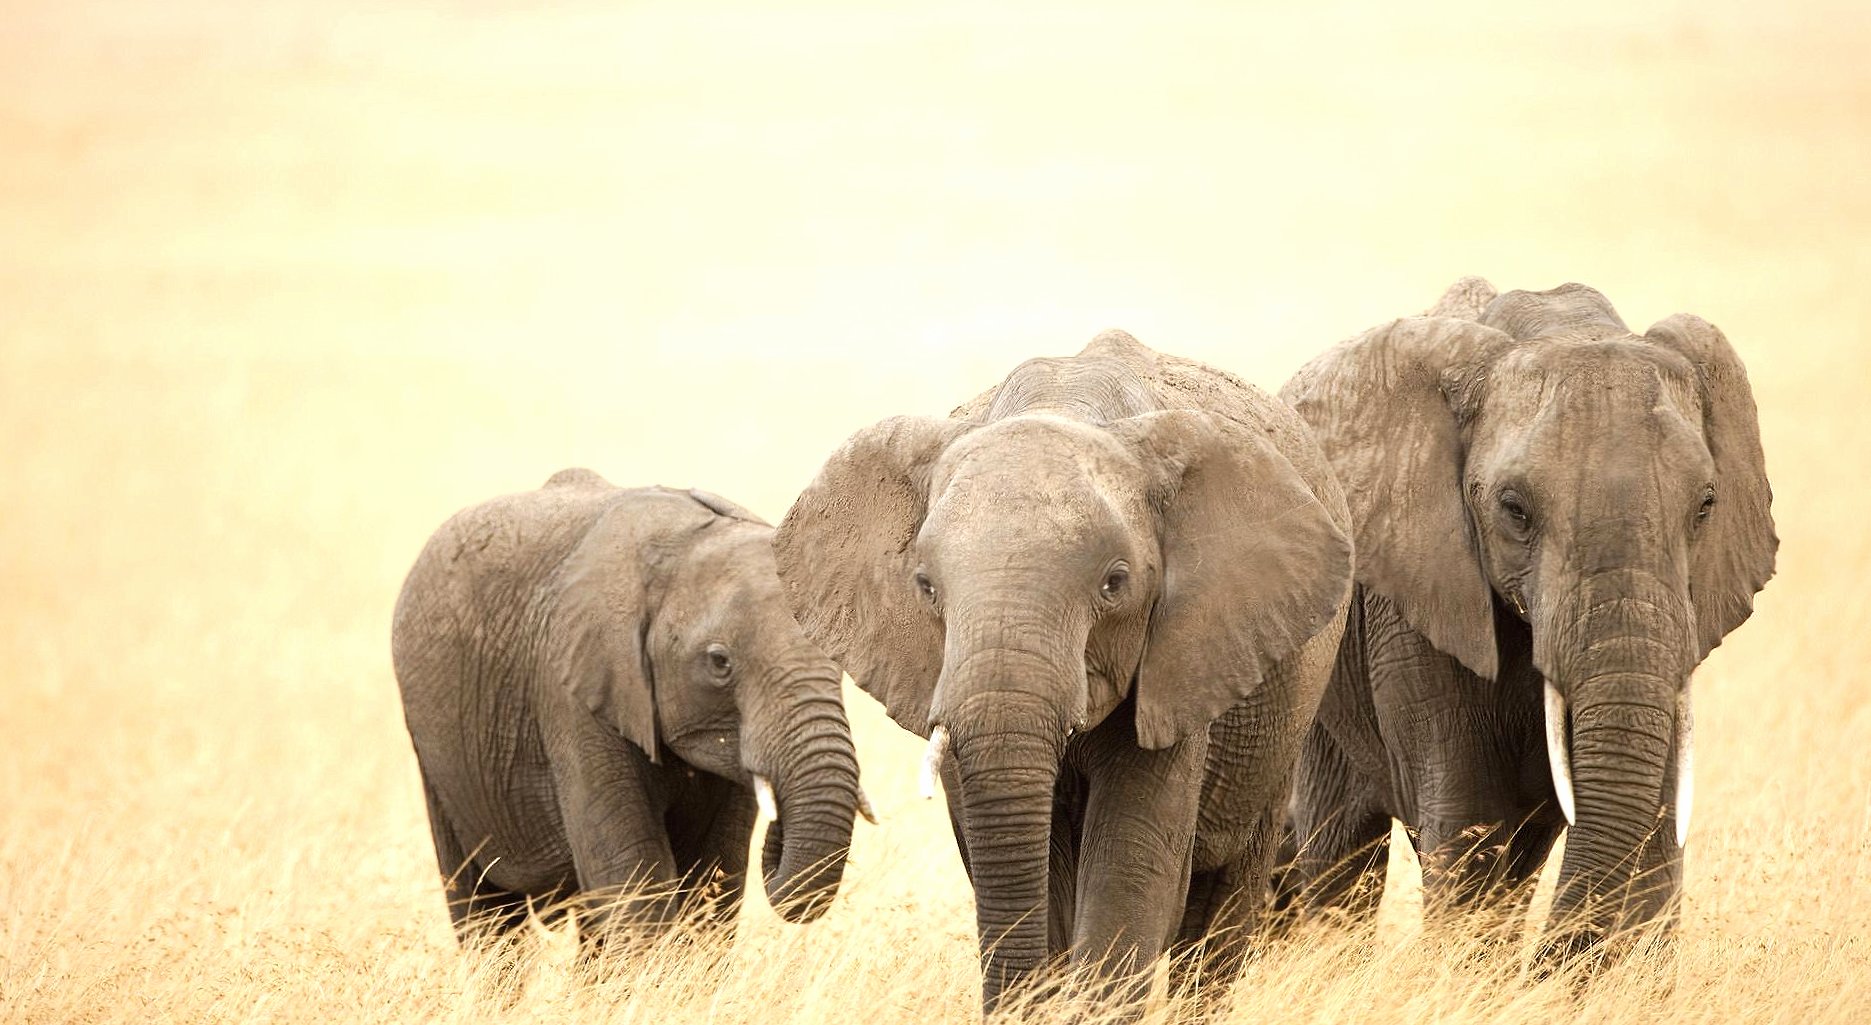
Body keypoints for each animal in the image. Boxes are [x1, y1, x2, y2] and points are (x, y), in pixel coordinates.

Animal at [391, 470, 868, 944]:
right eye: (719, 662)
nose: (779, 832)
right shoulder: (573, 691)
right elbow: (632, 879)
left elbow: (713, 880)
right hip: (435, 755)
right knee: (484, 911)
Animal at [1277, 278, 1776, 965]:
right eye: (1513, 509)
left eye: (1705, 505)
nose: (1543, 961)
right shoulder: (1415, 605)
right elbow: (1469, 819)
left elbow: (1651, 815)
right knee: (1338, 846)